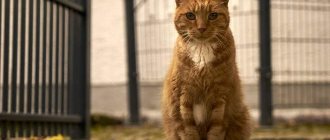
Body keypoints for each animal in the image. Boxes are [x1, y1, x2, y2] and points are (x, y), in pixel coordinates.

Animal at [162, 0, 253, 139]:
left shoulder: (221, 97)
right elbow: (189, 131)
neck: (202, 50)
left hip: (243, 115)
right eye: (190, 15)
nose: (201, 28)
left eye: (213, 15)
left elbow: (216, 131)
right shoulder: (183, 96)